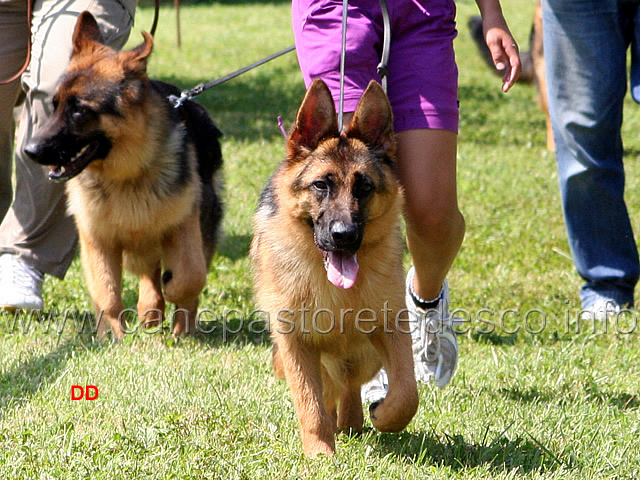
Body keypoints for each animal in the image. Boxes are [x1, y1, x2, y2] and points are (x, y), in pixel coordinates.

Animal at [24, 12, 222, 342]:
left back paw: (181, 324)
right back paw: (150, 310)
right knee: (148, 273)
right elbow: (107, 293)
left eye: (80, 111)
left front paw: (177, 301)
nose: (30, 151)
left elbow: (191, 277)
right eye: (55, 105)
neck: (127, 174)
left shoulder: (184, 227)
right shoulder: (97, 241)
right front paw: (112, 337)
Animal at [250, 79, 420, 458]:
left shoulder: (390, 327)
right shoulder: (295, 344)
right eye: (321, 185)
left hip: (366, 355)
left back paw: (353, 420)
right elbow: (309, 404)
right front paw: (319, 453)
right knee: (329, 392)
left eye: (364, 187)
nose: (344, 236)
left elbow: (407, 392)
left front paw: (385, 415)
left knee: (351, 385)